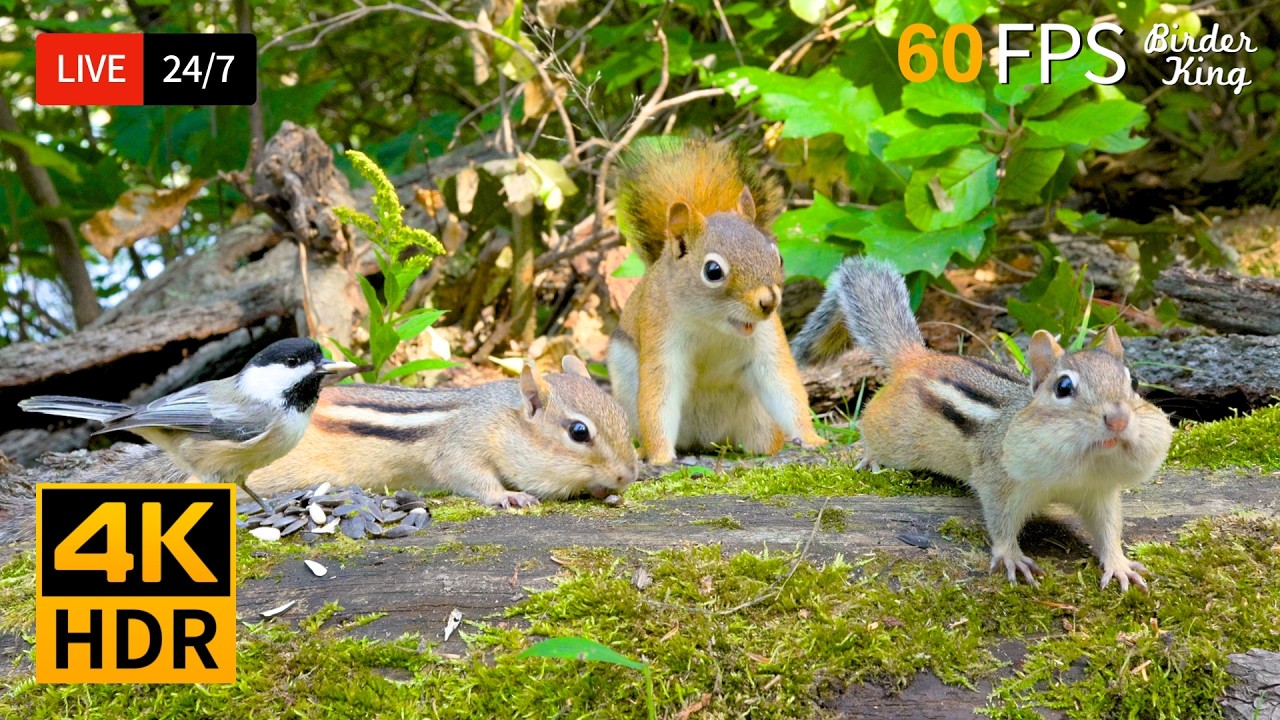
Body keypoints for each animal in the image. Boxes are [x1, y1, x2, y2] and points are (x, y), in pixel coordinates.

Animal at [247, 356, 637, 508]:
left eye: (622, 414)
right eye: (578, 432)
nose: (628, 476)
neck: (500, 417)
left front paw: (603, 490)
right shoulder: (460, 445)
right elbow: (465, 474)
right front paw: (508, 495)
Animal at [607, 137, 826, 465]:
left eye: (778, 256)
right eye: (713, 271)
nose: (769, 301)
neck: (713, 324)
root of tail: (705, 439)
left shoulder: (768, 342)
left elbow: (783, 385)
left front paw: (812, 438)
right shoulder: (661, 337)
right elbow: (658, 397)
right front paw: (659, 457)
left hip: (758, 421)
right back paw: (642, 449)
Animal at [792, 257, 1174, 591]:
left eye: (1134, 381)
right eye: (1063, 387)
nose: (1119, 419)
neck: (1079, 466)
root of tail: (918, 358)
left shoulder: (1099, 492)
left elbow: (1108, 530)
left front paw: (1119, 564)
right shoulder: (999, 480)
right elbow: (1000, 521)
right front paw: (1012, 556)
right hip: (896, 436)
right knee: (871, 425)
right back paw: (871, 457)